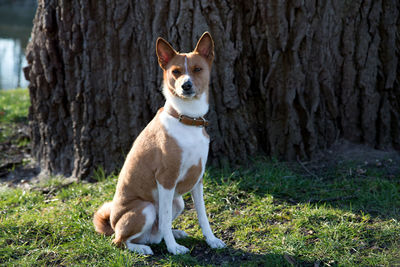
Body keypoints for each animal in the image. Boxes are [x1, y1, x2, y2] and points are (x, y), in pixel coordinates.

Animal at [92, 32, 227, 256]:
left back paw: (171, 234)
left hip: (178, 202)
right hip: (145, 209)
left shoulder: (198, 179)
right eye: (176, 71)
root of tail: (113, 224)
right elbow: (163, 218)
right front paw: (173, 248)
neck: (186, 119)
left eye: (197, 69)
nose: (186, 85)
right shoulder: (166, 179)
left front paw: (212, 240)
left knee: (156, 232)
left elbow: (203, 216)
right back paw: (143, 248)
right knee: (120, 241)